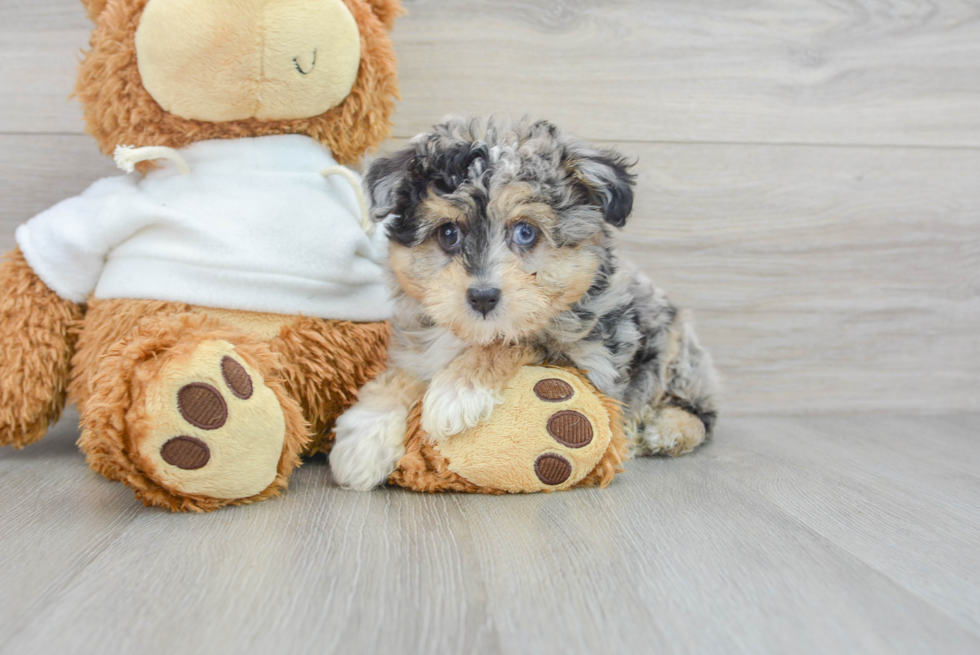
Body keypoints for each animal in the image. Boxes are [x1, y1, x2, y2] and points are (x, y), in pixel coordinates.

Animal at [332, 116, 720, 492]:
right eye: (448, 233)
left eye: (525, 232)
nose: (483, 297)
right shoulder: (416, 348)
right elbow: (401, 377)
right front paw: (364, 439)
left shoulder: (591, 363)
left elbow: (518, 341)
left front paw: (458, 390)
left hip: (676, 354)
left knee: (701, 413)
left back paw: (663, 431)